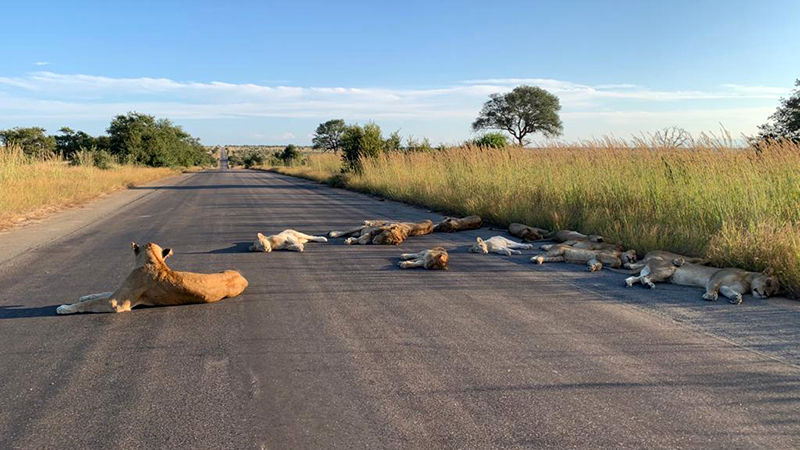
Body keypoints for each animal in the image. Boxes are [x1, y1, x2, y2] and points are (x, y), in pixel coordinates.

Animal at [56, 243, 247, 312]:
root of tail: (242, 277)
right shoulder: (118, 293)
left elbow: (89, 303)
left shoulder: (117, 303)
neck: (155, 260)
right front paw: (84, 295)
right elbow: (99, 294)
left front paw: (64, 308)